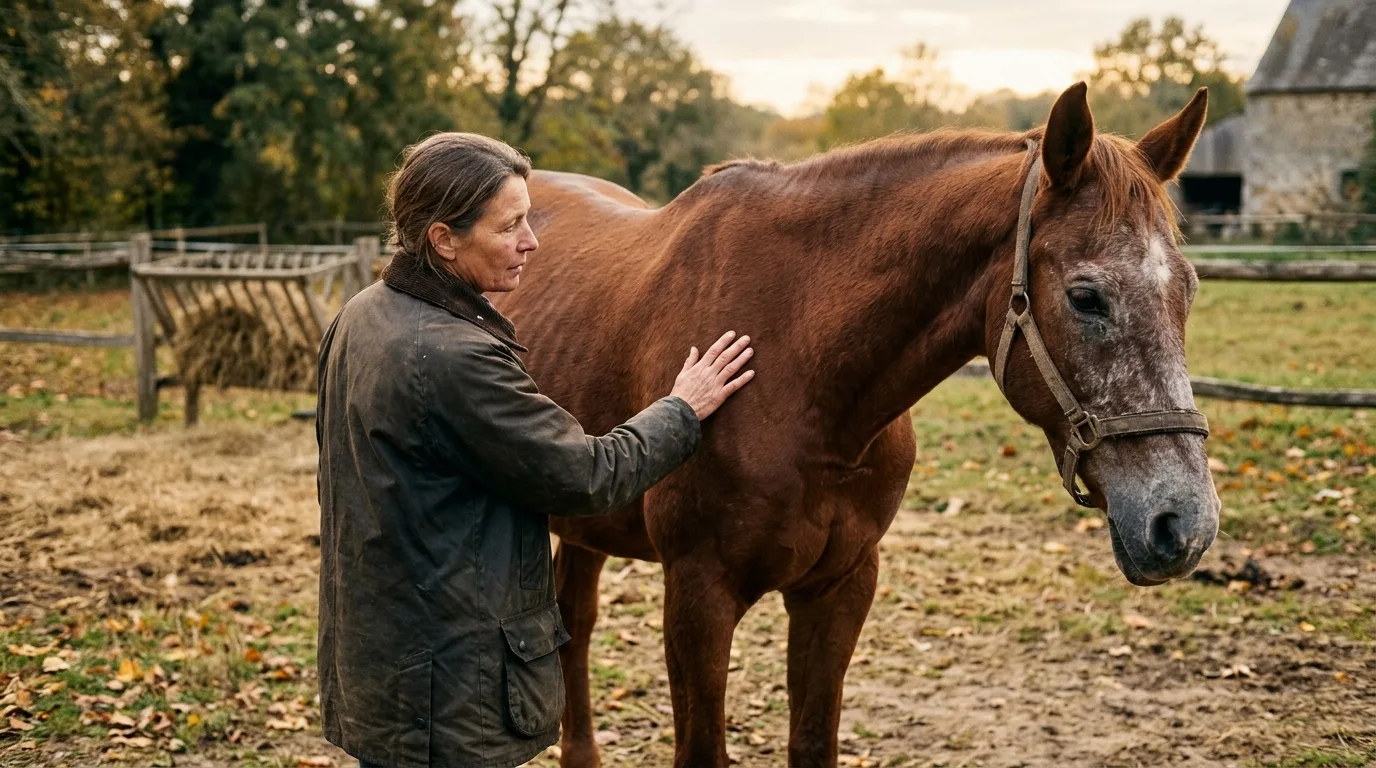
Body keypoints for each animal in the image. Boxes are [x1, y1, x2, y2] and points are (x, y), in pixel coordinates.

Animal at [492, 82, 1220, 767]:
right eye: (1085, 297)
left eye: (1189, 289)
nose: (1184, 524)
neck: (797, 364)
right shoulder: (699, 593)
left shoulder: (841, 587)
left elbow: (815, 741)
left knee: (575, 618)